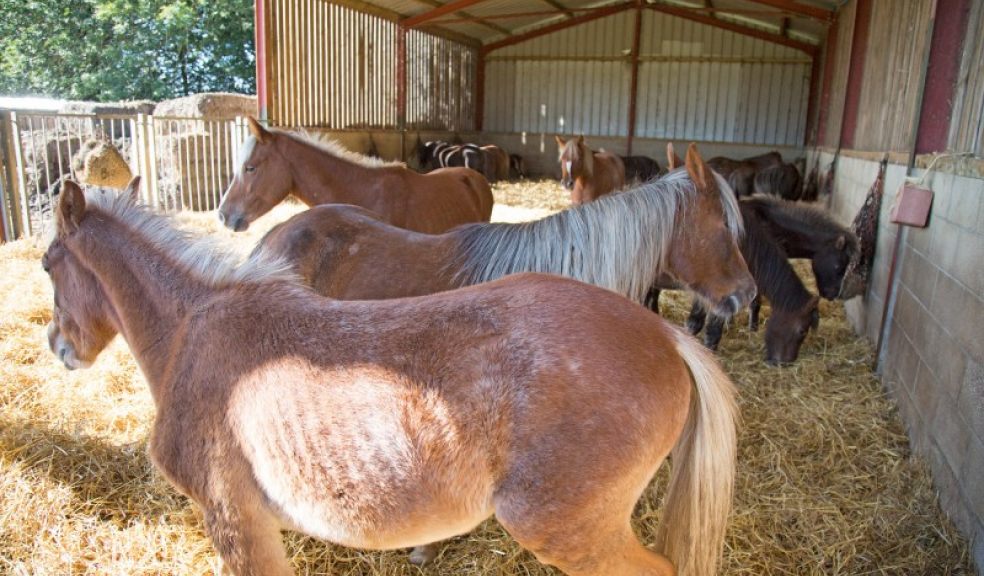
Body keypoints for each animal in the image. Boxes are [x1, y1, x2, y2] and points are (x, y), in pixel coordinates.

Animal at [44, 178, 739, 576]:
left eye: (50, 262)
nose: (59, 346)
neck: (194, 329)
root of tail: (665, 337)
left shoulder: (236, 523)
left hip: (570, 530)